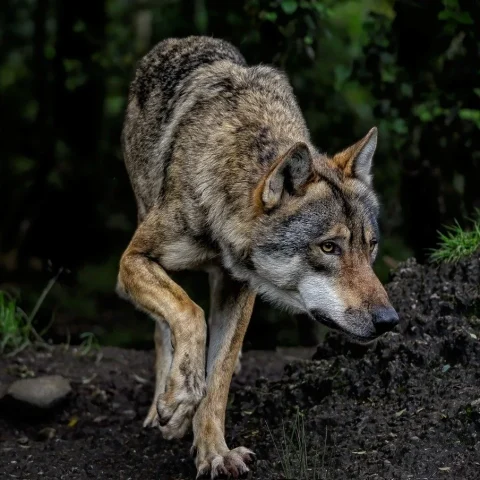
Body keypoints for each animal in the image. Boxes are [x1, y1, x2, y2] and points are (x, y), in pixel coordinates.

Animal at [116, 35, 398, 478]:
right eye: (328, 247)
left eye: (369, 247)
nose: (389, 321)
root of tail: (177, 42)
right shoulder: (133, 260)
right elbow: (189, 314)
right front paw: (179, 398)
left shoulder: (240, 287)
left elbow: (219, 376)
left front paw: (214, 452)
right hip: (143, 220)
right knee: (165, 328)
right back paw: (165, 403)